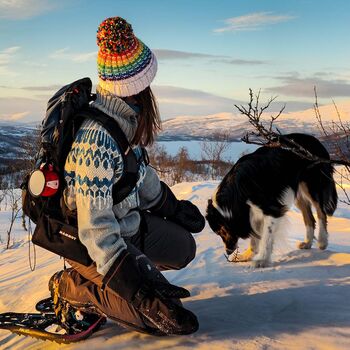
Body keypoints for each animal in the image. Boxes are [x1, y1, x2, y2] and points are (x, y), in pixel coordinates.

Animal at [206, 134, 338, 268]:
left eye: (222, 231)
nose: (228, 251)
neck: (237, 192)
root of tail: (316, 141)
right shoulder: (251, 212)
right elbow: (254, 236)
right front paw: (248, 255)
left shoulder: (271, 208)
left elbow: (266, 237)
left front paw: (261, 260)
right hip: (297, 192)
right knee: (309, 217)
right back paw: (307, 243)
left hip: (312, 185)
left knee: (321, 212)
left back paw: (322, 241)